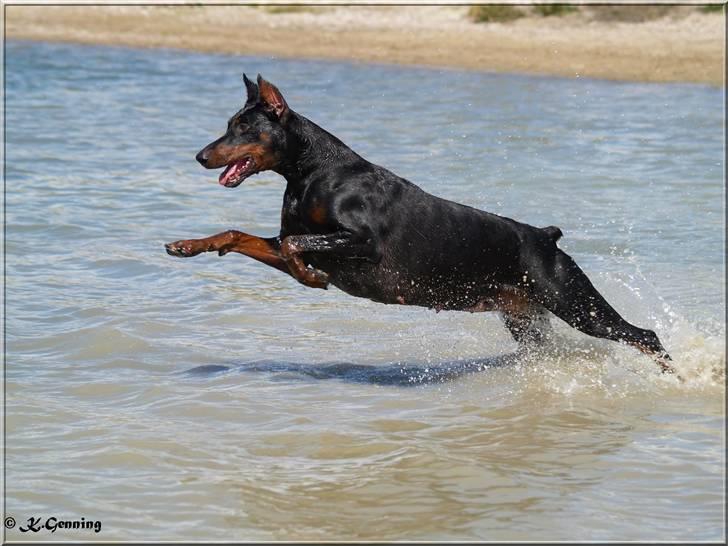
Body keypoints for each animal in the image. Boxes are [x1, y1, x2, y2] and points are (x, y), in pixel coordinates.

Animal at [166, 74, 676, 374]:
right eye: (228, 124)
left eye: (243, 128)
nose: (200, 156)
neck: (312, 172)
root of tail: (546, 237)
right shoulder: (287, 237)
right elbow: (241, 235)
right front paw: (188, 245)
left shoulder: (362, 242)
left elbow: (297, 248)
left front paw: (310, 276)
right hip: (526, 316)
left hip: (571, 299)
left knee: (642, 335)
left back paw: (676, 375)